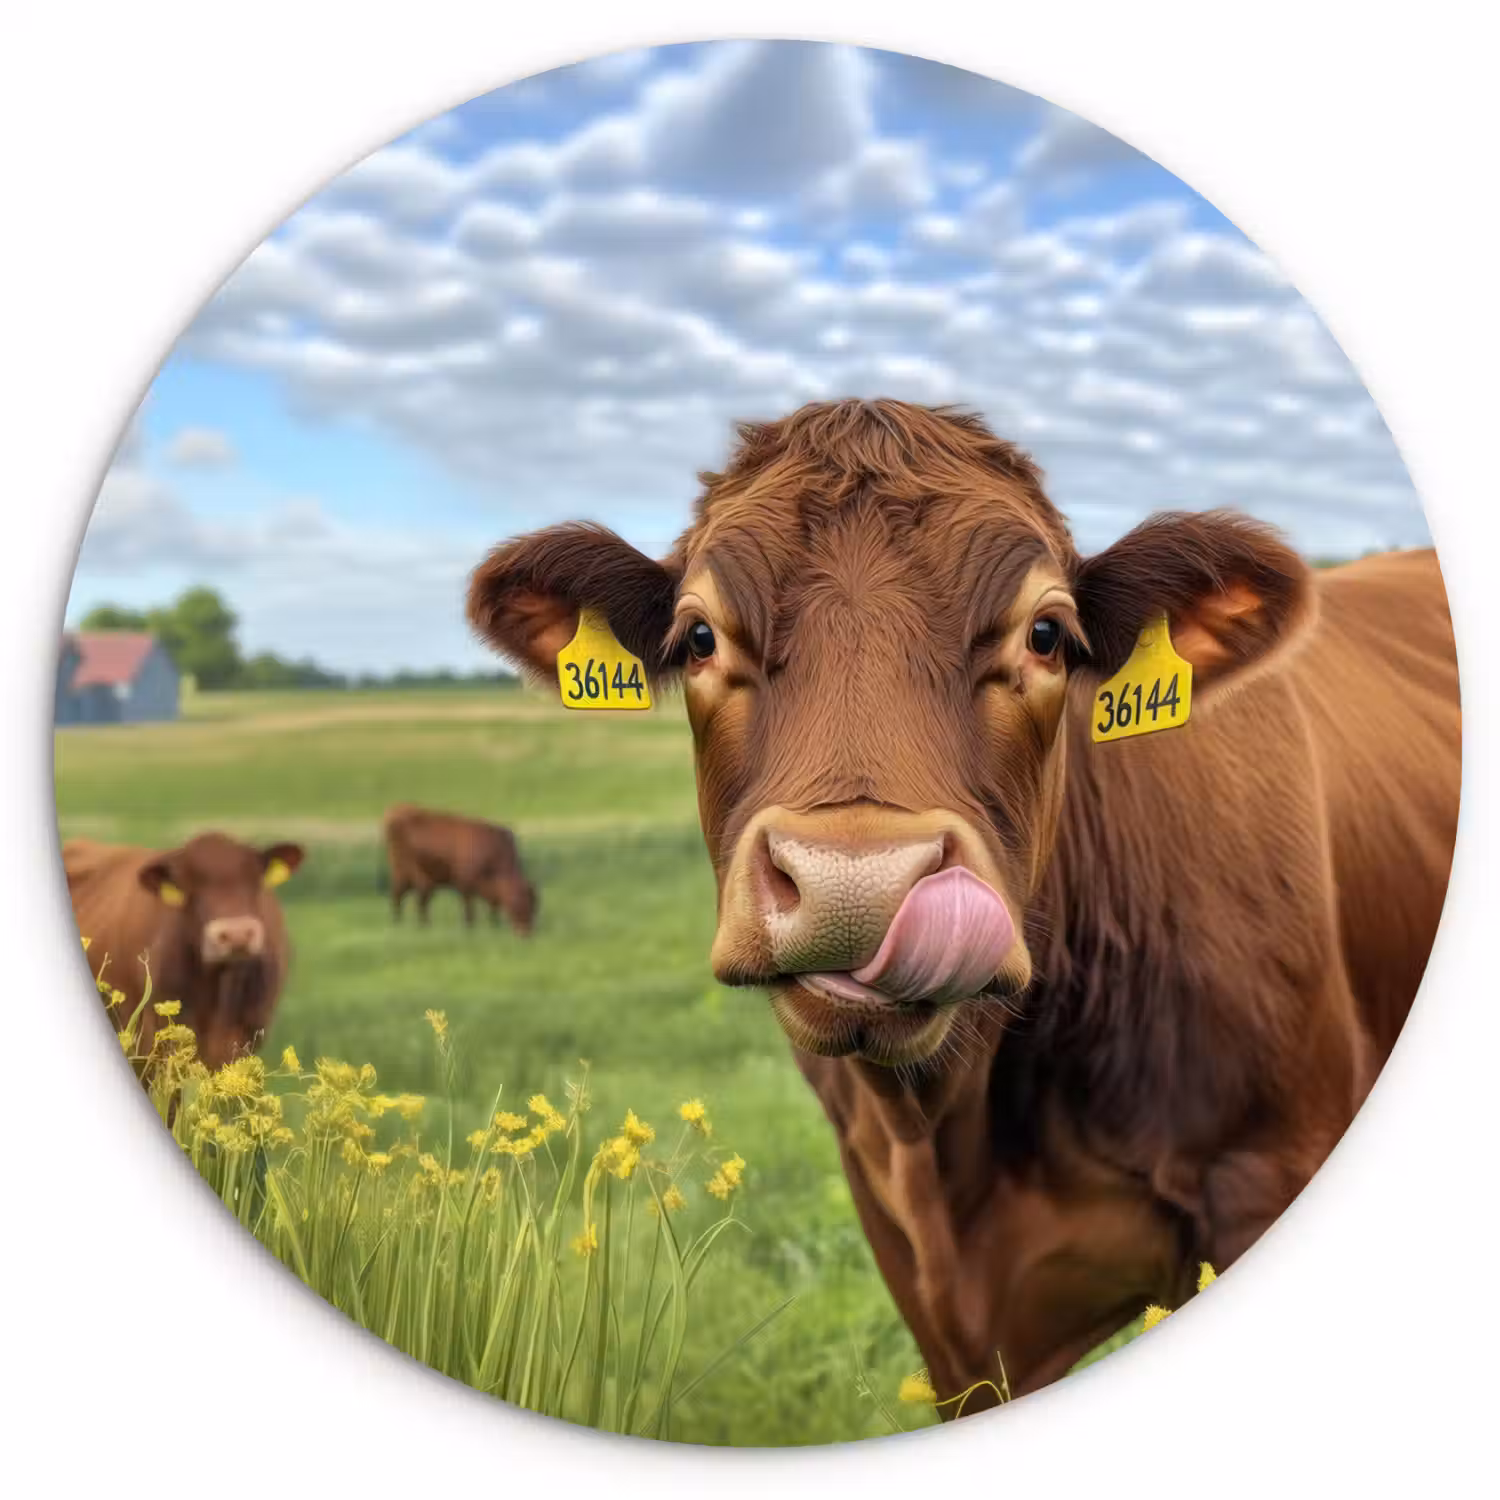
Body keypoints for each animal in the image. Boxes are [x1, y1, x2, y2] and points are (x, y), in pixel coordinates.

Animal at [383, 803, 538, 935]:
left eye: (534, 906)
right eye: (518, 904)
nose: (526, 934)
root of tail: (395, 812)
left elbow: (493, 908)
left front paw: (494, 925)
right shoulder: (466, 885)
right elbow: (469, 909)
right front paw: (470, 928)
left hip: (423, 880)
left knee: (419, 902)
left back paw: (422, 925)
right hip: (404, 875)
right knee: (398, 896)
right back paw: (399, 922)